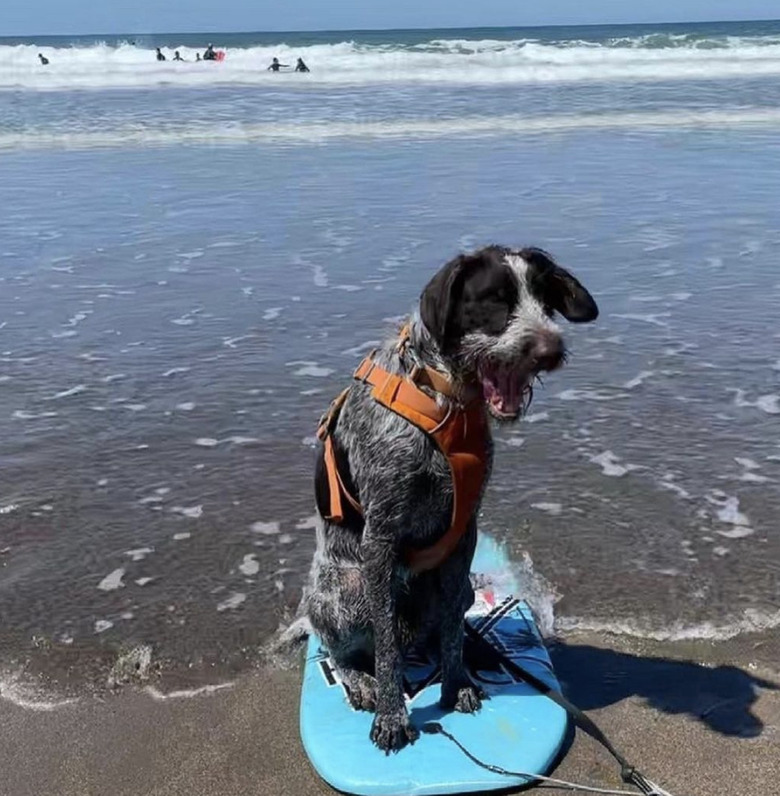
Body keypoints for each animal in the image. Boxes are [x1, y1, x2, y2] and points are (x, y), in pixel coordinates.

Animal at [304, 244, 596, 752]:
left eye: (546, 301)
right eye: (494, 300)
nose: (551, 351)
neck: (444, 399)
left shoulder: (465, 532)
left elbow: (453, 632)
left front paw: (456, 681)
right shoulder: (381, 538)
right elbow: (385, 650)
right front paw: (392, 714)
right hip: (347, 589)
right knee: (341, 647)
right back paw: (360, 680)